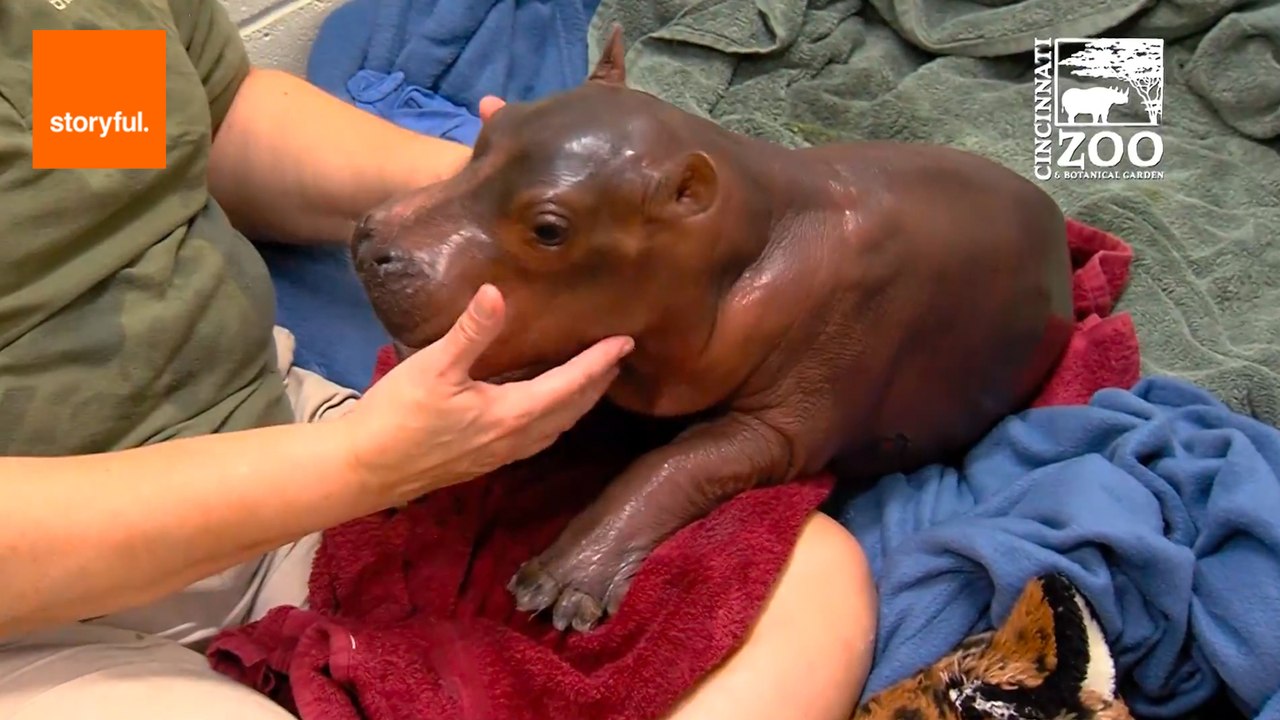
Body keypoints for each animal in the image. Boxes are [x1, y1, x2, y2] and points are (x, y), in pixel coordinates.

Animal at [351, 25, 1075, 634]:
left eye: (550, 229)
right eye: (490, 131)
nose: (372, 242)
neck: (749, 225)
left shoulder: (785, 423)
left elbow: (673, 462)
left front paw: (558, 588)